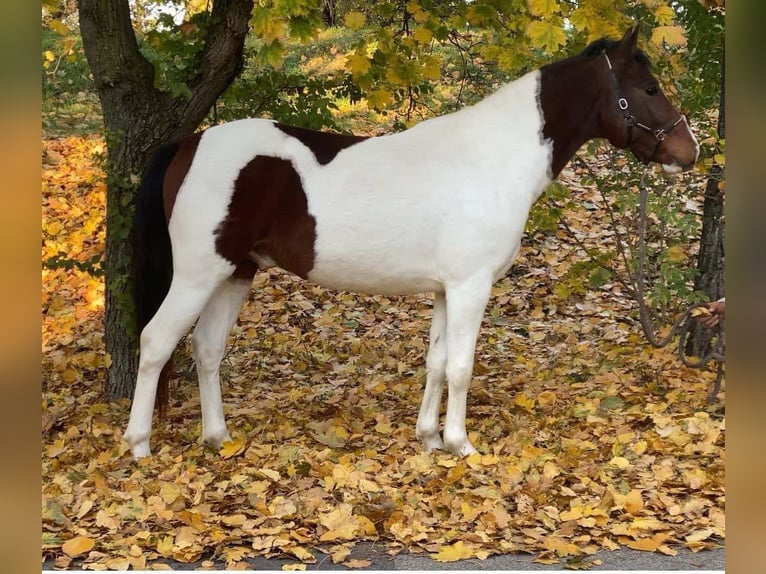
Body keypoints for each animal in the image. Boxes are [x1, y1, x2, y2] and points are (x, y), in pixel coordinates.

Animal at [124, 27, 704, 462]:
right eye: (649, 88)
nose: (689, 150)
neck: (491, 157)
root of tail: (189, 143)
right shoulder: (471, 287)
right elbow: (461, 366)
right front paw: (460, 445)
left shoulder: (447, 290)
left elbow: (436, 361)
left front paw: (428, 439)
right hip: (198, 274)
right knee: (156, 342)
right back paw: (139, 445)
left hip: (235, 272)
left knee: (206, 348)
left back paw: (218, 438)